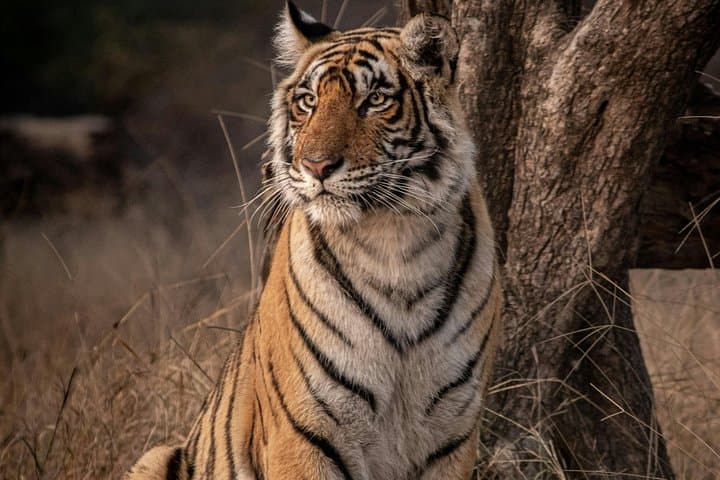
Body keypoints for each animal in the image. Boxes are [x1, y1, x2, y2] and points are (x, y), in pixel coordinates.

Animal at [125, 2, 501, 479]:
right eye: (309, 101)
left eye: (374, 100)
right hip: (152, 457)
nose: (316, 166)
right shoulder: (304, 433)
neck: (394, 242)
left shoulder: (451, 437)